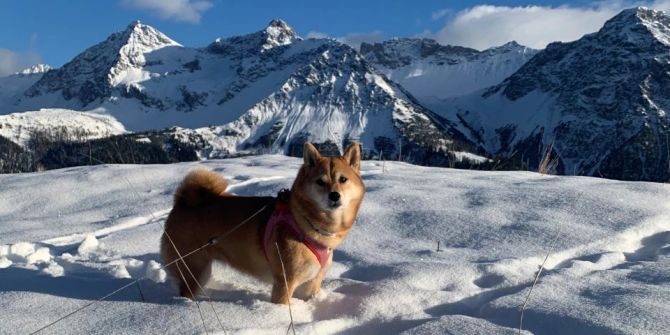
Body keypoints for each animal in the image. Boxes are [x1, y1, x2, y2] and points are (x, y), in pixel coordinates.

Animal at [159, 143, 364, 306]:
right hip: (194, 269)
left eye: (343, 179)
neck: (304, 222)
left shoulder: (311, 283)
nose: (334, 196)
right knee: (186, 290)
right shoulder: (284, 283)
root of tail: (182, 203)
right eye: (320, 181)